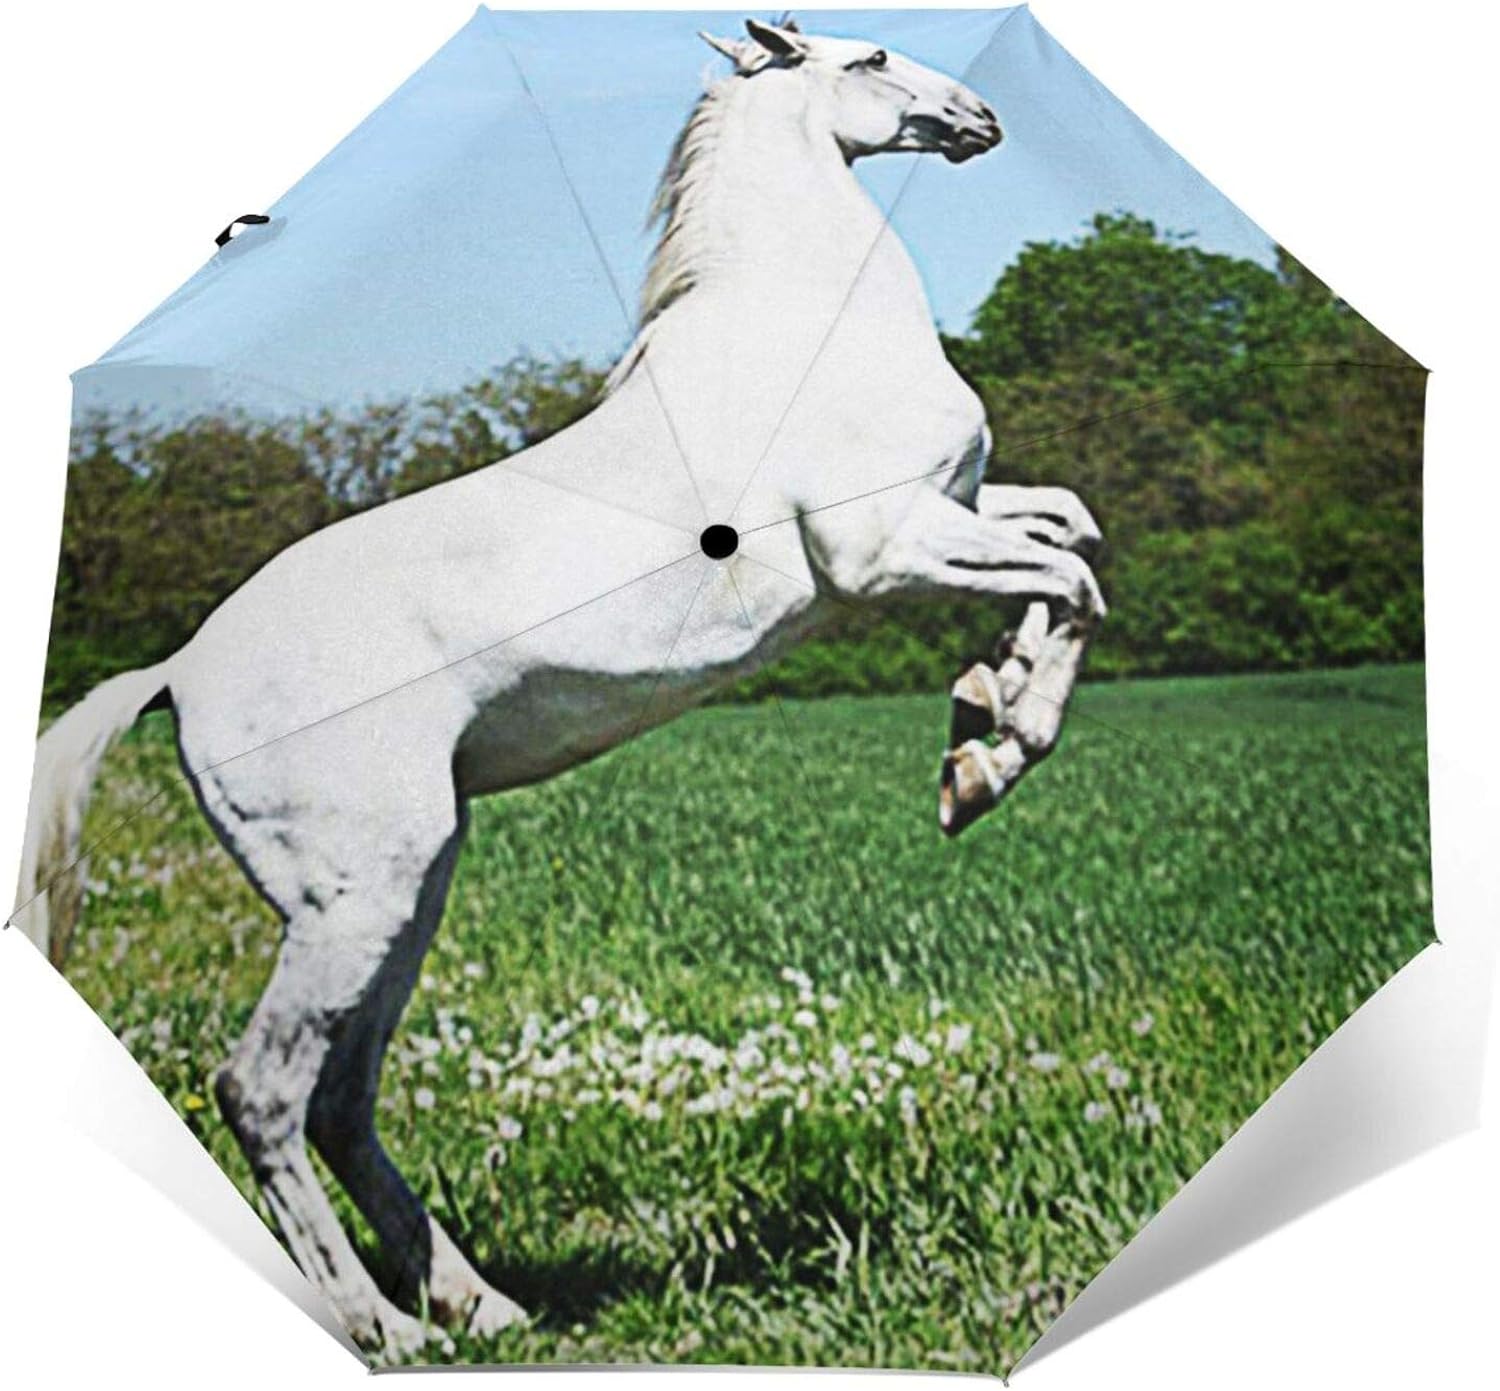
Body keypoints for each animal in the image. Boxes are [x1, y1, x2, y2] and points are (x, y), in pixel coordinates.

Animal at [13, 17, 1104, 1355]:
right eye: (869, 58)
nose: (980, 118)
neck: (801, 328)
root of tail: (179, 676)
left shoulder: (950, 516)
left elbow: (1072, 530)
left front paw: (979, 716)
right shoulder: (886, 550)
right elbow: (1072, 574)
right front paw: (986, 756)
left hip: (410, 888)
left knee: (340, 1097)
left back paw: (481, 1302)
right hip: (354, 899)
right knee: (260, 1088)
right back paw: (389, 1328)